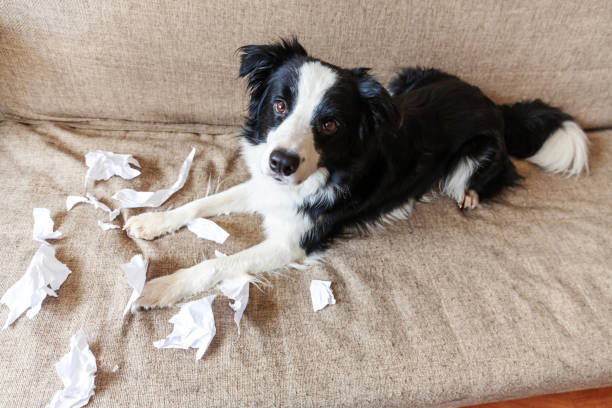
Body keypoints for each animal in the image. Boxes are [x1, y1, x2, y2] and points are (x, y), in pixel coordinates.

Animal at [126, 38, 592, 310]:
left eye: (330, 123)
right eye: (279, 104)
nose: (281, 163)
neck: (329, 166)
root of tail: (495, 105)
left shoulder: (294, 241)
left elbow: (218, 264)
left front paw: (157, 288)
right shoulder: (267, 187)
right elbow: (203, 202)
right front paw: (152, 220)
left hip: (476, 155)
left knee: (493, 172)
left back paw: (471, 195)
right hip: (407, 78)